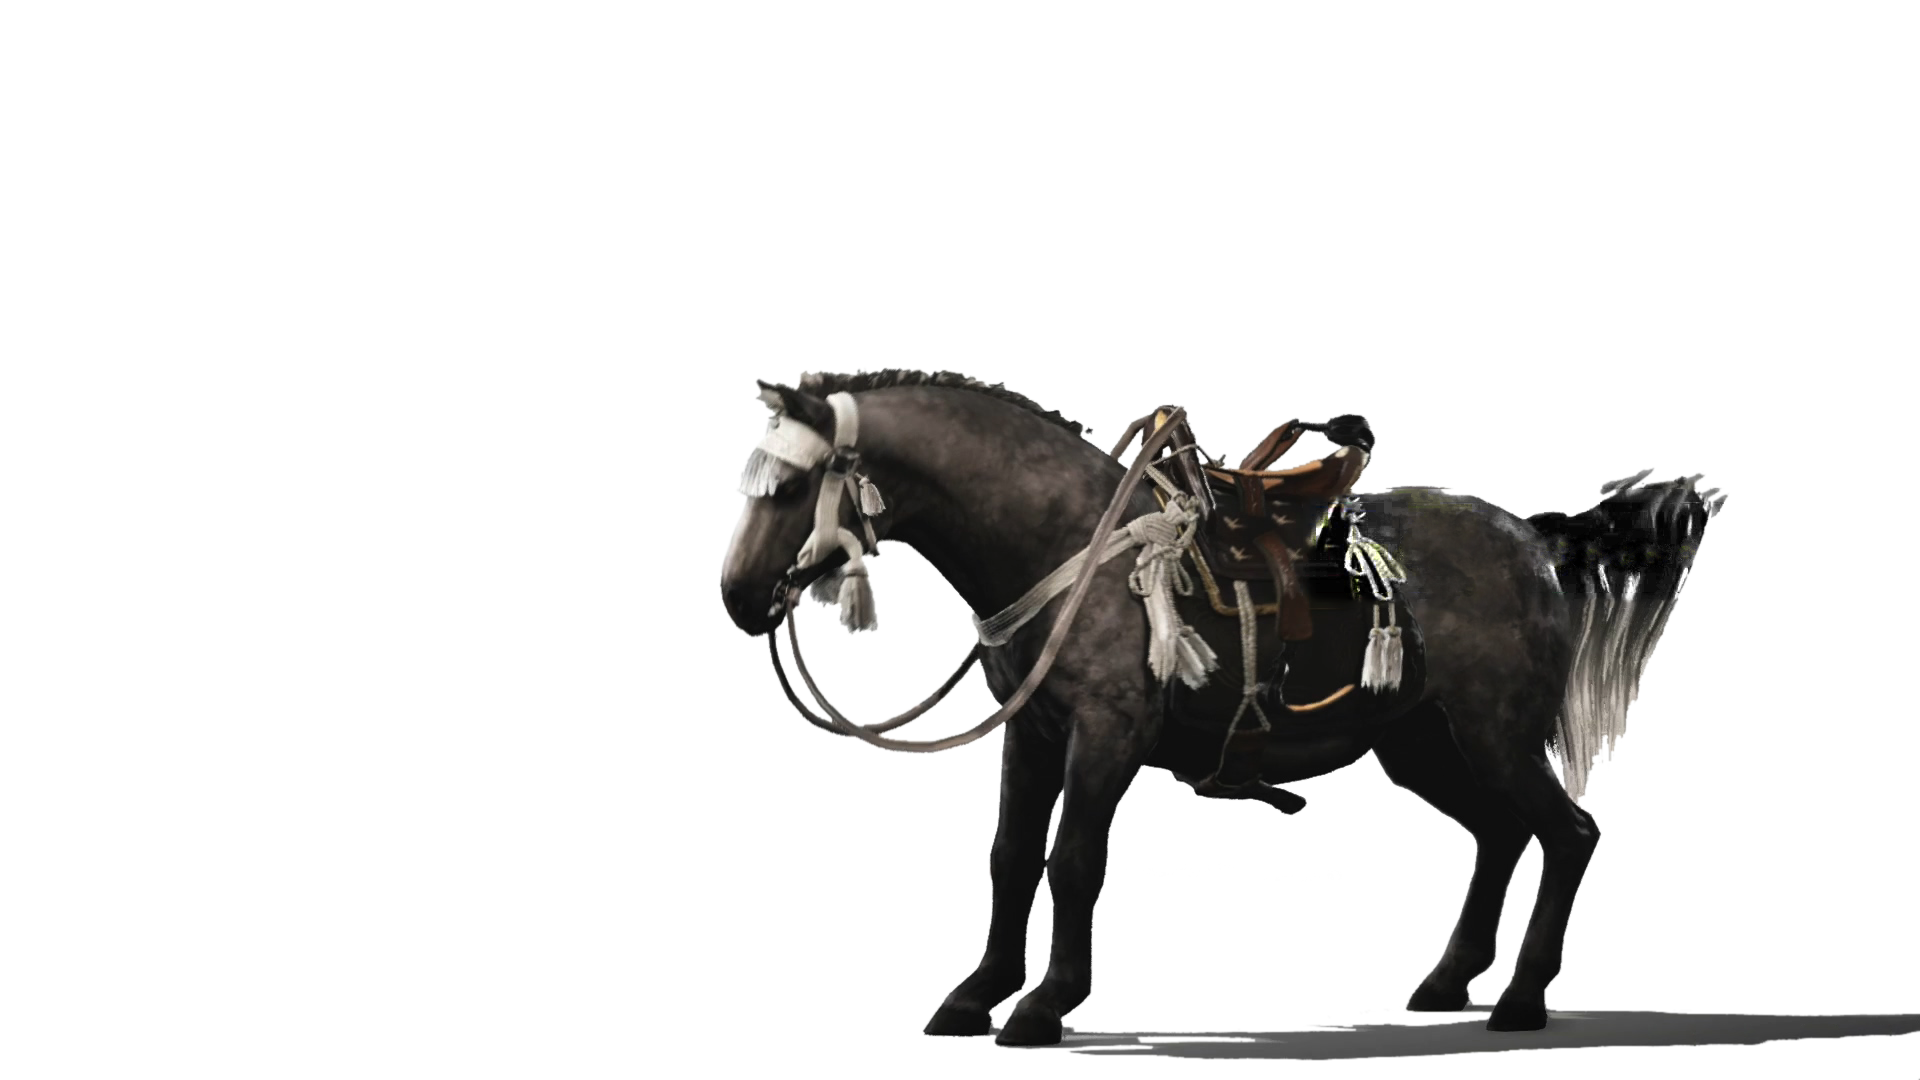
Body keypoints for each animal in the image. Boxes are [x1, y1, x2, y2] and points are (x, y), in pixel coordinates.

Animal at [719, 369, 1714, 1047]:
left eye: (796, 486)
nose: (738, 596)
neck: (1071, 542)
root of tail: (1534, 538)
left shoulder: (1107, 734)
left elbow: (1073, 862)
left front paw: (1044, 1004)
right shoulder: (1033, 732)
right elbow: (1009, 858)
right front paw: (975, 993)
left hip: (1496, 733)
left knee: (1568, 834)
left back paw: (1521, 997)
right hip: (1423, 744)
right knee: (1502, 834)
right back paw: (1449, 980)